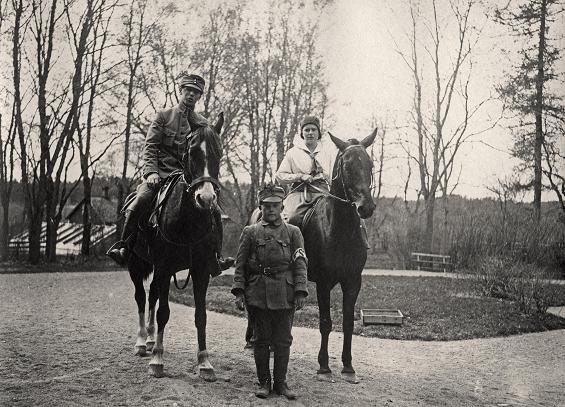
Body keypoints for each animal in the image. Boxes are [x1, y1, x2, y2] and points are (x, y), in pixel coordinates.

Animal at [128, 114, 225, 380]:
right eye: (191, 152)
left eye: (219, 153)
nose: (206, 198)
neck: (187, 218)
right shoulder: (163, 266)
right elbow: (164, 312)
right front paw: (157, 360)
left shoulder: (201, 270)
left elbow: (200, 316)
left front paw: (204, 362)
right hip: (135, 266)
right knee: (141, 297)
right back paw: (142, 342)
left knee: (151, 294)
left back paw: (151, 339)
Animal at [302, 129, 376, 384]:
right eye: (346, 166)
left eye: (370, 164)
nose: (366, 207)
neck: (340, 230)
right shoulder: (323, 283)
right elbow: (325, 323)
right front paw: (324, 366)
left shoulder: (353, 282)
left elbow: (347, 323)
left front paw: (348, 366)